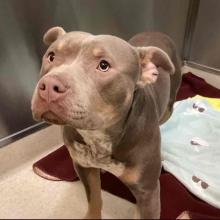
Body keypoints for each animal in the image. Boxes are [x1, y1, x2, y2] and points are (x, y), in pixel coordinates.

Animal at [31, 26, 182, 219]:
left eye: (103, 66)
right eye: (51, 56)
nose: (49, 86)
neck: (99, 136)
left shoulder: (148, 193)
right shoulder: (84, 168)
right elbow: (94, 198)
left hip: (169, 108)